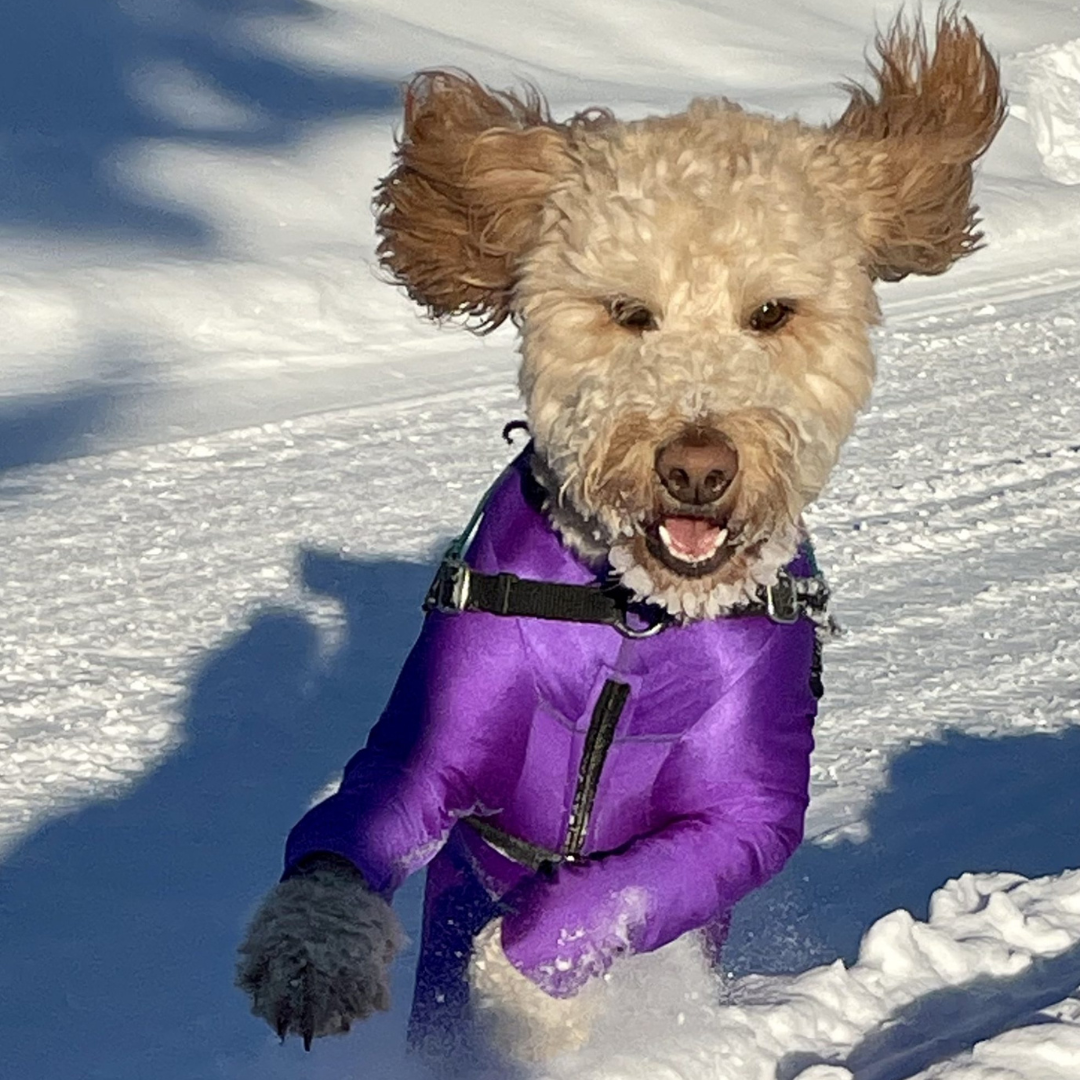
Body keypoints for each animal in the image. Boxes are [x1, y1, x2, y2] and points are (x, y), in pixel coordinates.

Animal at [236, 8, 1002, 1067]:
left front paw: (526, 1006)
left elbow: (596, 905)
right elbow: (346, 836)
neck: (632, 625)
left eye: (772, 313)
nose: (697, 465)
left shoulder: (745, 819)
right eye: (628, 312)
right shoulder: (424, 742)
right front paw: (311, 957)